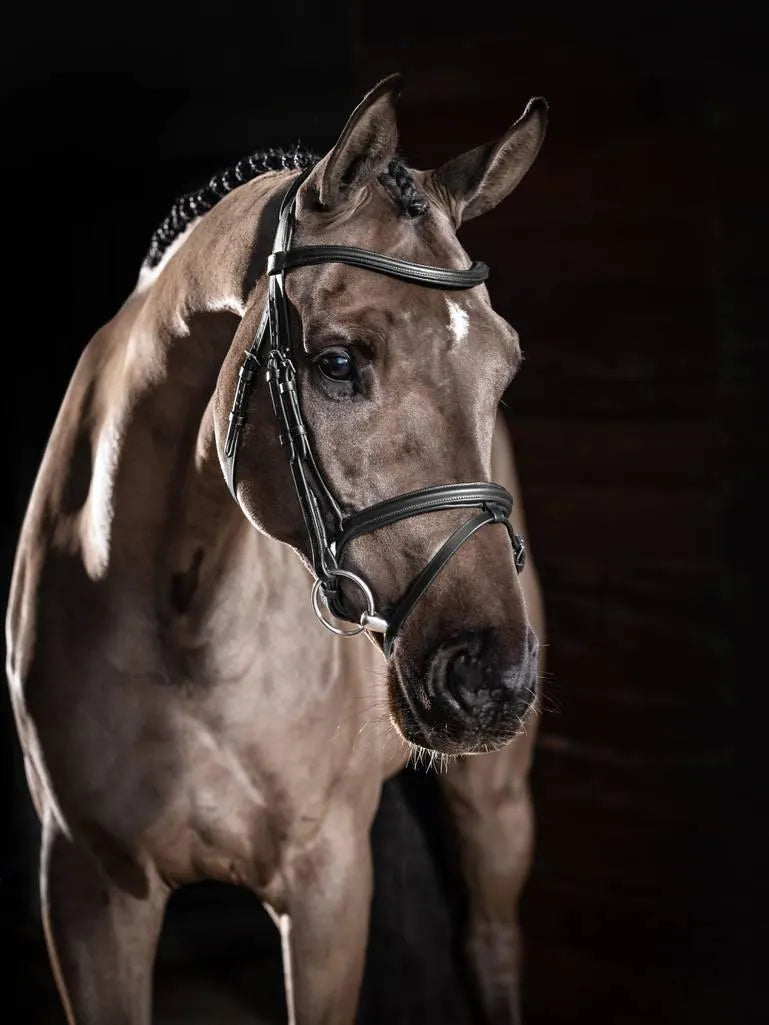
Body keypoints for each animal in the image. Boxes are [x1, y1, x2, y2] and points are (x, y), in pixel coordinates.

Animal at [5, 73, 547, 1024]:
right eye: (335, 362)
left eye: (504, 365)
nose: (490, 675)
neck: (184, 619)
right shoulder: (87, 891)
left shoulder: (326, 885)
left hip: (494, 800)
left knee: (488, 943)